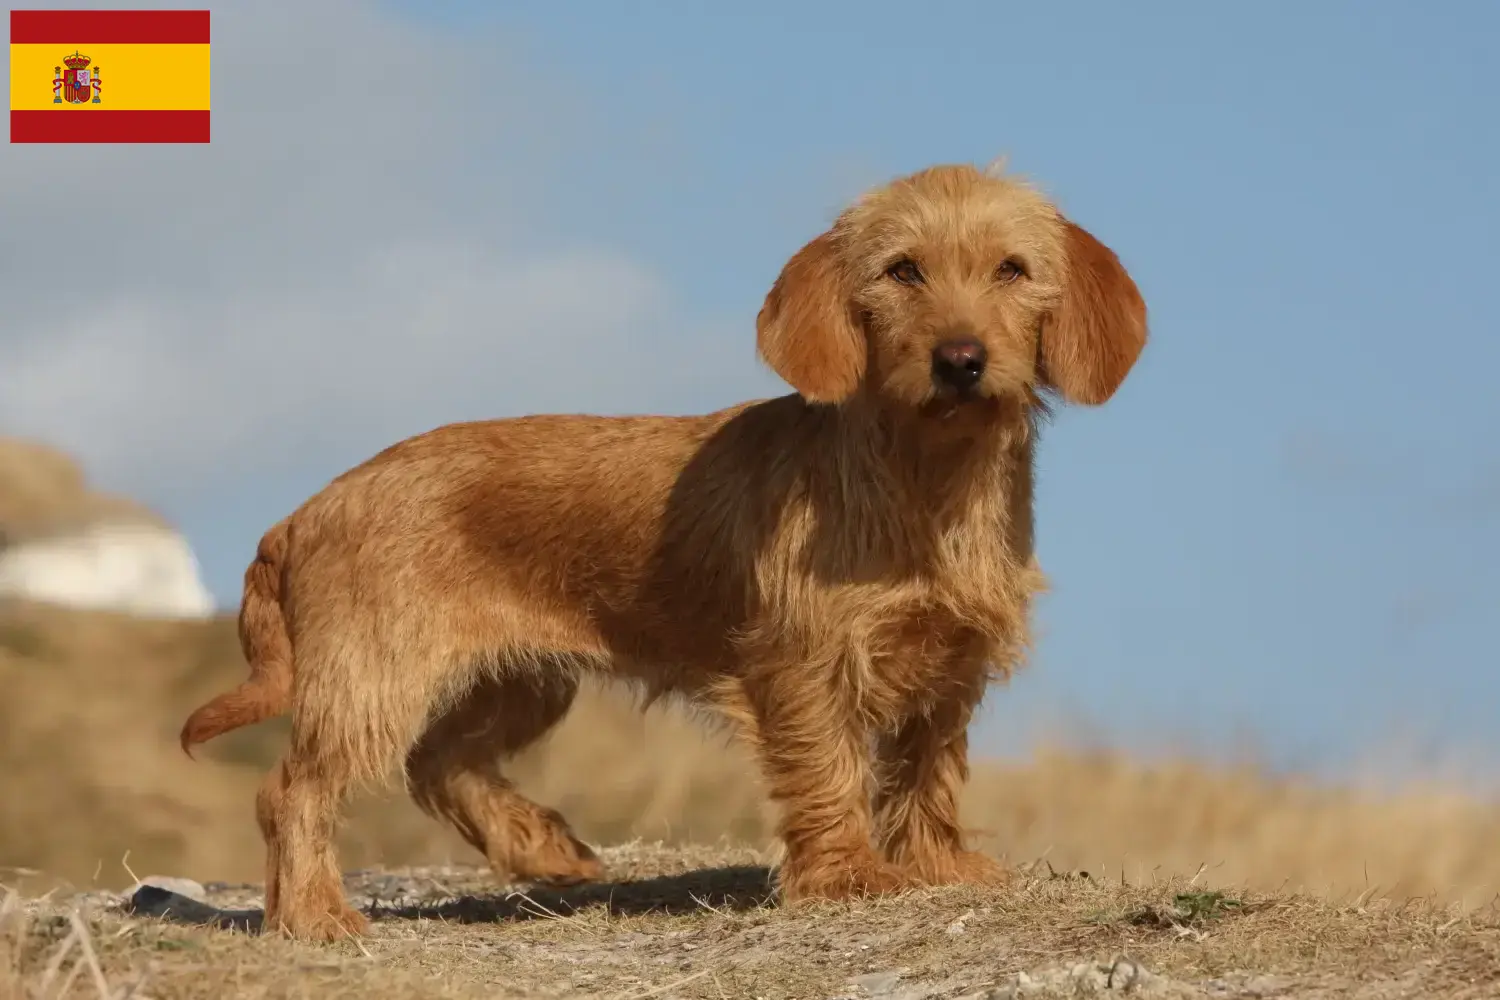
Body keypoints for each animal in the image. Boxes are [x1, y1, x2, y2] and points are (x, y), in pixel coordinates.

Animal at [181, 160, 1140, 941]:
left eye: (1012, 270)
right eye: (903, 269)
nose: (961, 359)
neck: (925, 482)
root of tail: (304, 511)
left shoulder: (952, 663)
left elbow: (926, 772)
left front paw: (936, 864)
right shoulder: (803, 665)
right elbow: (829, 769)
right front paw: (847, 875)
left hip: (521, 683)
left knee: (439, 762)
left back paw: (541, 848)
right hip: (373, 681)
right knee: (294, 790)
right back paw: (315, 916)